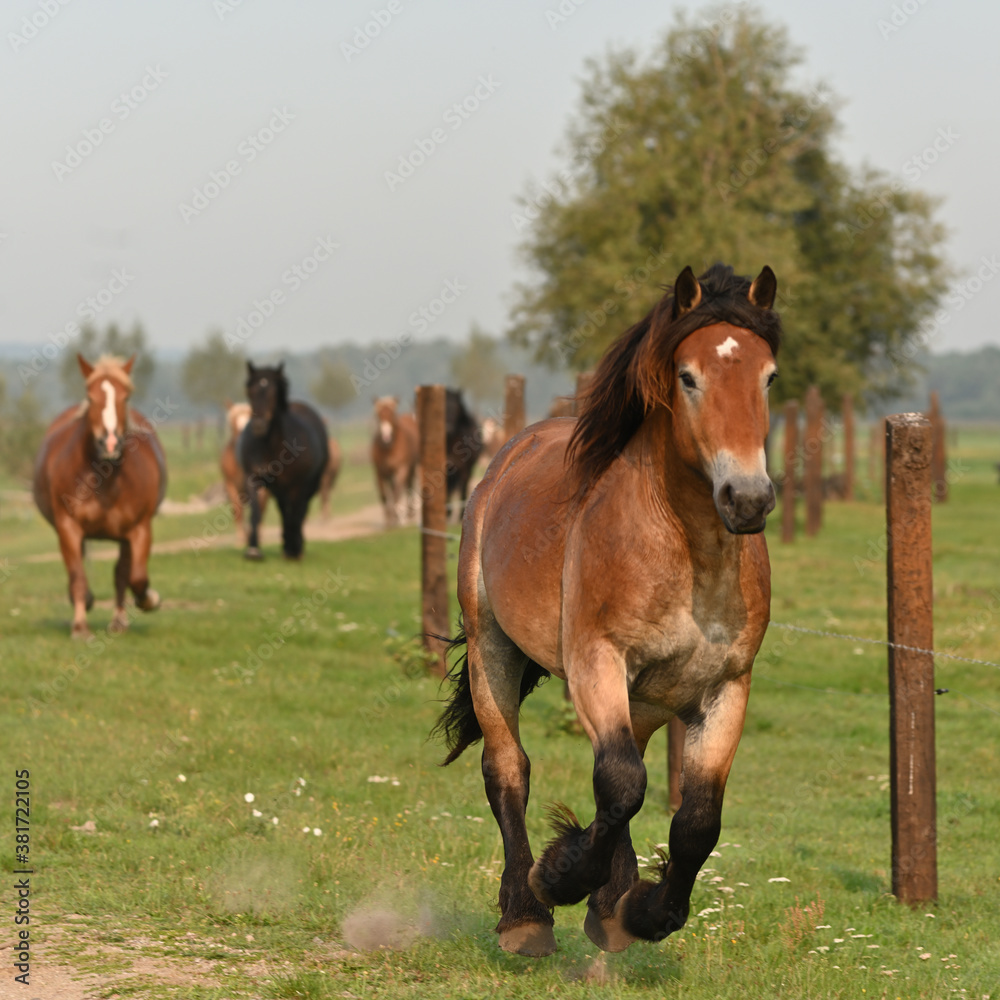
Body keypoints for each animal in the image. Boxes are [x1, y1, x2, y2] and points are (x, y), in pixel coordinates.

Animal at [32, 354, 167, 638]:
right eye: (90, 396)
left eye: (126, 396)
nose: (110, 444)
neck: (106, 479)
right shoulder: (68, 527)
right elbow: (78, 576)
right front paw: (80, 627)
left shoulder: (139, 529)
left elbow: (136, 578)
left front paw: (150, 599)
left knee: (122, 573)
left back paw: (119, 621)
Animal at [237, 362, 330, 560]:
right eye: (250, 390)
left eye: (274, 392)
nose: (259, 425)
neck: (271, 447)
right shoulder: (253, 479)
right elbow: (256, 512)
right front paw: (253, 550)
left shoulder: (297, 485)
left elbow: (295, 515)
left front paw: (294, 548)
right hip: (280, 489)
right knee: (285, 511)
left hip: (309, 486)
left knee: (300, 512)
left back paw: (295, 546)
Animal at [371, 396, 419, 526]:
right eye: (378, 415)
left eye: (392, 415)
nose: (386, 435)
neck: (389, 448)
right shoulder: (380, 472)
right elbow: (384, 494)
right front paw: (389, 519)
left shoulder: (401, 469)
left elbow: (397, 492)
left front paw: (396, 518)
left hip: (412, 468)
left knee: (409, 486)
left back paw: (409, 514)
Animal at [445, 388, 482, 521]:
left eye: (456, 407)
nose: (448, 429)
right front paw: (447, 513)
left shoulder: (464, 468)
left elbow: (463, 489)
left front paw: (461, 515)